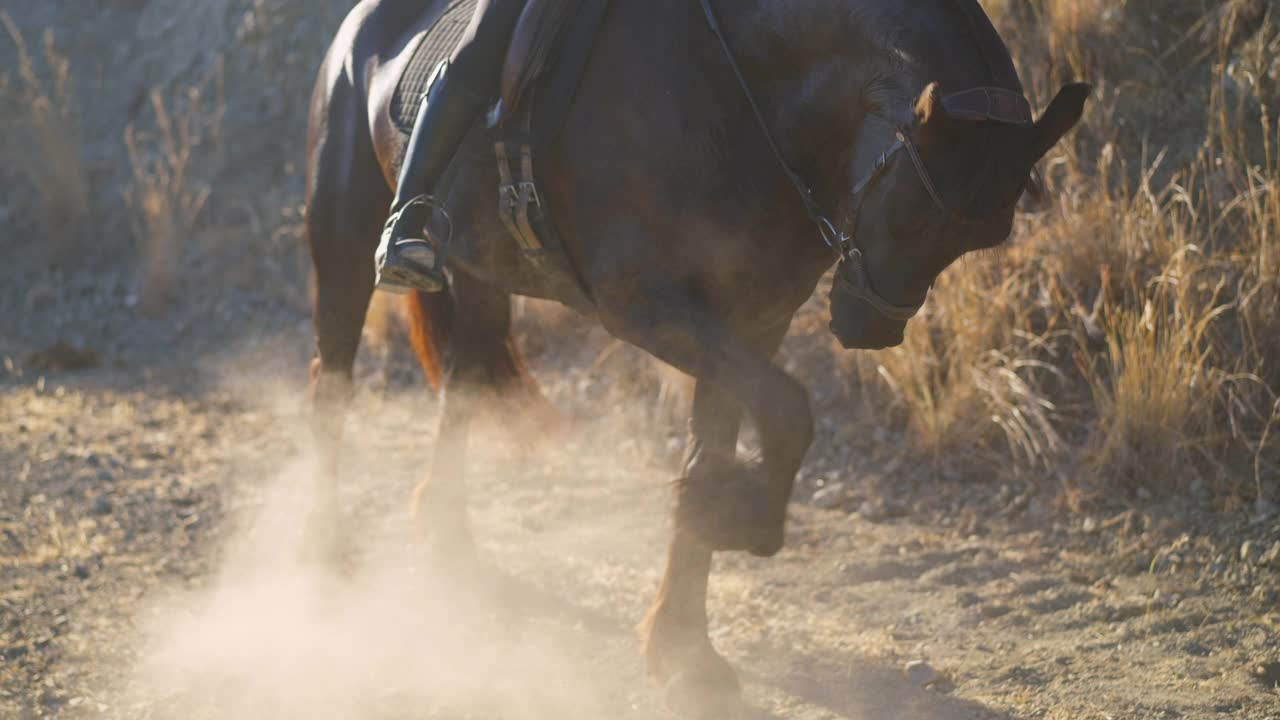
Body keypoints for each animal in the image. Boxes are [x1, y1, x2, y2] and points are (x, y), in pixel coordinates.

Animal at [304, 0, 1085, 712]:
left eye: (981, 236)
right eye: (914, 214)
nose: (869, 328)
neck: (738, 89)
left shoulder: (750, 320)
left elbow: (725, 440)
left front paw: (685, 643)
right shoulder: (645, 306)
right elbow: (788, 411)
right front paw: (737, 521)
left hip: (480, 274)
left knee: (462, 386)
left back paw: (446, 540)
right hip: (343, 240)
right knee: (332, 383)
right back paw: (326, 551)